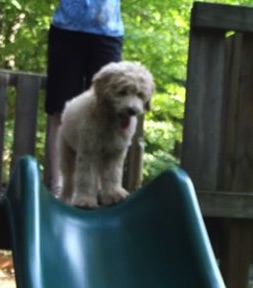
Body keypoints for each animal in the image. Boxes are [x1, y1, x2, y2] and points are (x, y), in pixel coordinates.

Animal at [56, 61, 154, 207]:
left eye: (140, 94)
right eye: (122, 92)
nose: (132, 110)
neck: (110, 120)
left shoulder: (115, 152)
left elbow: (113, 174)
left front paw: (114, 194)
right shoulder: (89, 151)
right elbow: (87, 176)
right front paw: (86, 200)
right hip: (67, 151)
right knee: (69, 178)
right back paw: (65, 198)